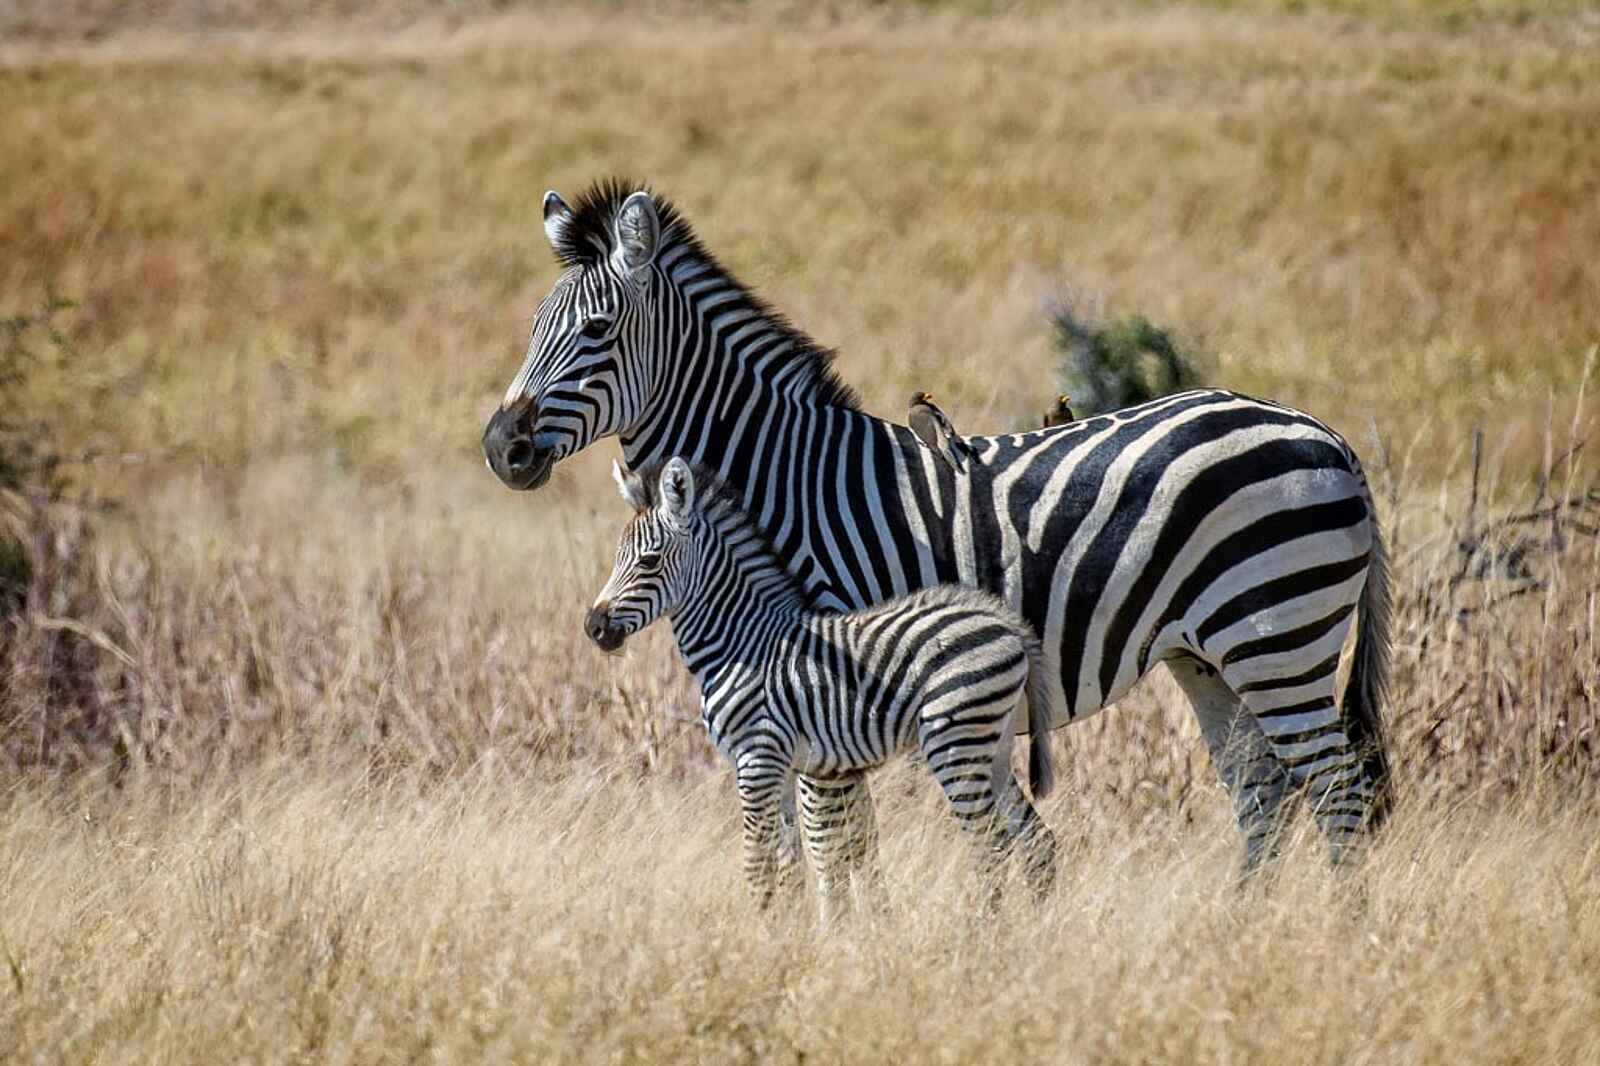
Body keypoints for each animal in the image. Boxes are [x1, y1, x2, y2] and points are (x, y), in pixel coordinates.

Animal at [587, 456, 1059, 920]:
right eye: (616, 557)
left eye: (648, 562)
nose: (594, 627)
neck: (741, 642)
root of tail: (1008, 623)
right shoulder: (777, 766)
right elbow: (787, 862)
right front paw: (786, 928)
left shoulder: (757, 759)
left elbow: (757, 864)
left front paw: (762, 931)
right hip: (991, 744)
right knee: (1032, 838)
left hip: (955, 740)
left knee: (991, 846)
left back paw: (982, 932)